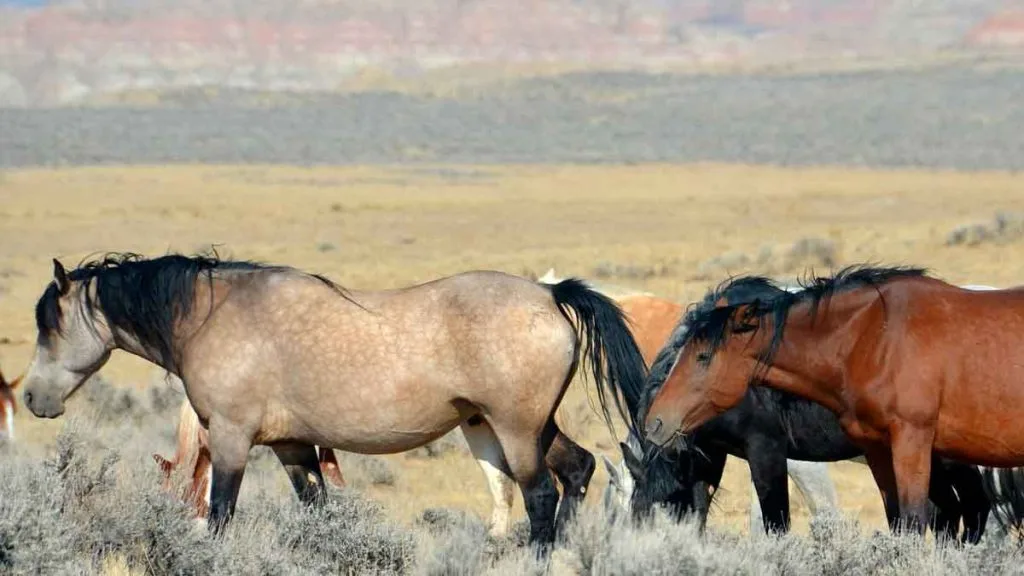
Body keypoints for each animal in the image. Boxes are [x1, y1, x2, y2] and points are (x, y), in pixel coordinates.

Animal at [21, 253, 647, 548]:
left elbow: (218, 513)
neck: (213, 316)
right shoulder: (293, 447)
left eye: (49, 324)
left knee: (541, 496)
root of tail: (549, 293)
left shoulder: (231, 440)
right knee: (577, 470)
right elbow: (317, 512)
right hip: (528, 426)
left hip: (515, 431)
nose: (30, 396)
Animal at [642, 265, 1024, 537]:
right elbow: (899, 524)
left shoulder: (910, 443)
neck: (875, 337)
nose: (656, 422)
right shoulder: (877, 447)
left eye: (703, 356)